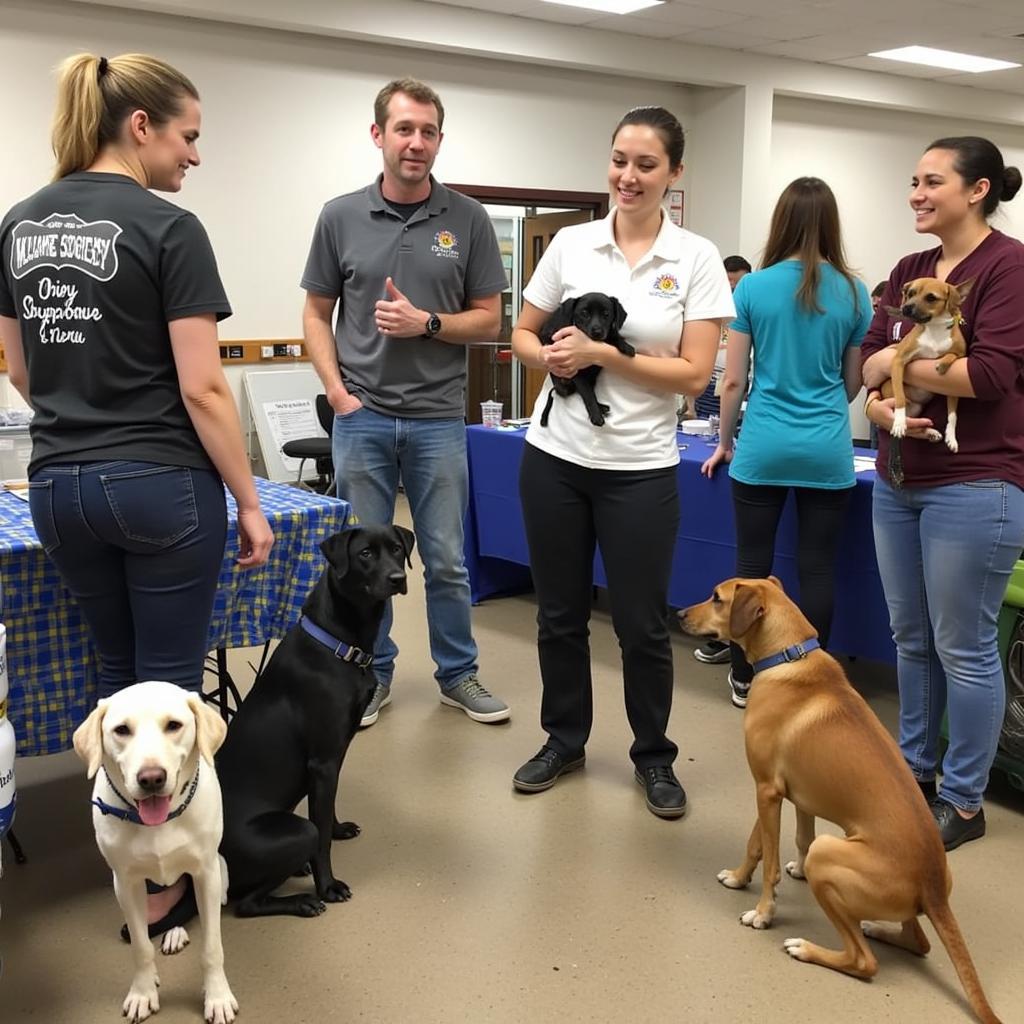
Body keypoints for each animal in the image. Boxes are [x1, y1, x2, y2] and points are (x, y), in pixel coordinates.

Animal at [74, 679, 237, 1024]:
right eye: (121, 730)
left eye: (173, 725)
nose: (151, 778)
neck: (158, 823)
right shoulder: (126, 884)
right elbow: (141, 948)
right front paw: (143, 991)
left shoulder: (205, 874)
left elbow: (212, 948)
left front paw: (217, 995)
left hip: (217, 875)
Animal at [215, 524, 411, 917]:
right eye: (365, 554)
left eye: (397, 549)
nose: (398, 578)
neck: (340, 645)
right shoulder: (323, 761)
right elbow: (320, 836)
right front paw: (329, 886)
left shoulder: (333, 757)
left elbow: (327, 810)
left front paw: (337, 828)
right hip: (292, 835)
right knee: (246, 903)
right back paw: (304, 900)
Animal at [536, 292, 630, 428]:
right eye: (584, 313)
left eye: (606, 314)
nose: (597, 332)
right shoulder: (577, 373)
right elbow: (588, 395)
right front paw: (596, 416)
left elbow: (612, 335)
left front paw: (625, 345)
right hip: (565, 387)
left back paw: (602, 407)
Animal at [679, 581, 999, 1019]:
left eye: (716, 598)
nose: (678, 614)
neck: (788, 655)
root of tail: (933, 886)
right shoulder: (786, 793)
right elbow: (768, 842)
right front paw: (742, 877)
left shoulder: (766, 789)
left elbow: (769, 860)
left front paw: (763, 912)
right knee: (919, 942)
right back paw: (878, 927)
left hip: (829, 855)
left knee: (864, 962)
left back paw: (806, 948)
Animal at [884, 280, 970, 456]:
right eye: (910, 293)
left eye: (931, 297)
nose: (906, 307)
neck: (935, 327)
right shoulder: (898, 361)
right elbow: (900, 398)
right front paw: (898, 423)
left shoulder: (954, 382)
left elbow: (953, 415)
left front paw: (951, 437)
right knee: (906, 413)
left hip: (917, 410)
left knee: (915, 427)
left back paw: (931, 432)